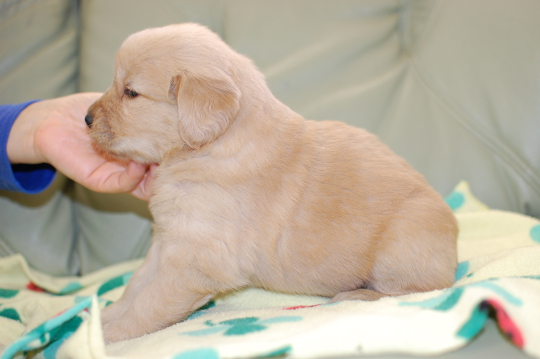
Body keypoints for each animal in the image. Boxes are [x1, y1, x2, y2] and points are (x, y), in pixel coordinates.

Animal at [86, 22, 458, 344]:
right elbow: (136, 286)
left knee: (418, 289)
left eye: (131, 92)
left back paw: (356, 293)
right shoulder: (169, 241)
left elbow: (149, 304)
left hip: (400, 247)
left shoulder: (196, 260)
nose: (85, 118)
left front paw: (108, 336)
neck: (210, 148)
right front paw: (105, 317)